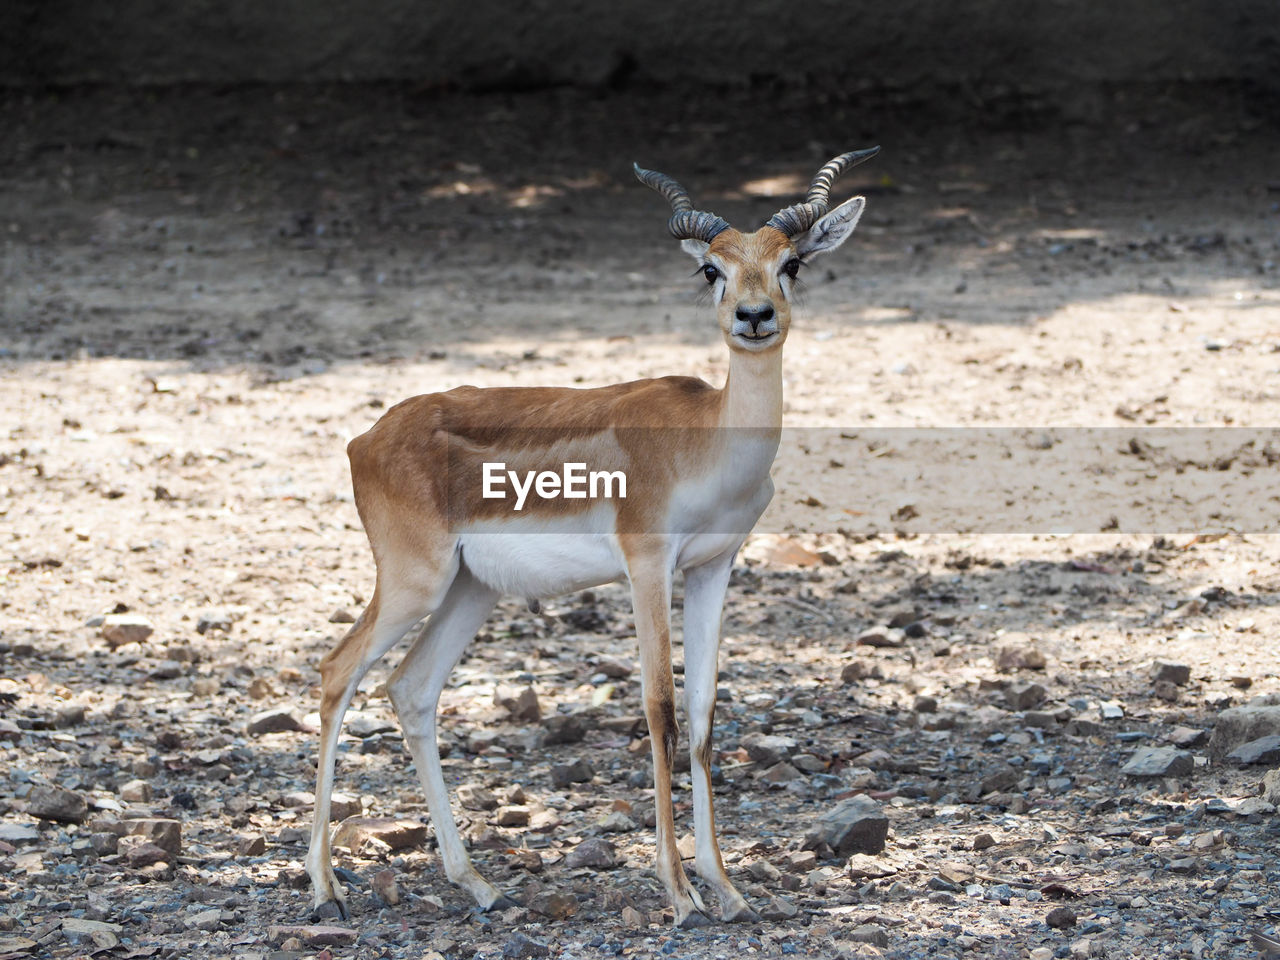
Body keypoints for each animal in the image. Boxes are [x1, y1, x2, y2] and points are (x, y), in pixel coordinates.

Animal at [304, 146, 875, 926]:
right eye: (711, 270)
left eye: (792, 262)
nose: (754, 317)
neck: (709, 436)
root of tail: (366, 438)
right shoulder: (646, 563)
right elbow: (660, 709)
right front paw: (679, 893)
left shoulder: (714, 565)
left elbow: (702, 714)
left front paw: (727, 888)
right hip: (414, 582)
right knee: (337, 671)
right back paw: (325, 889)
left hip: (469, 590)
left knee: (412, 689)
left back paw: (476, 883)